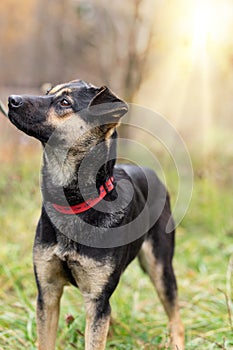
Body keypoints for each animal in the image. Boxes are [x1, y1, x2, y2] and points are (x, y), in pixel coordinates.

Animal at [7, 80, 184, 350]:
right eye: (48, 93)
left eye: (65, 102)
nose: (10, 99)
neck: (74, 203)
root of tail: (149, 171)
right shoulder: (47, 292)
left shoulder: (96, 299)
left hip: (160, 266)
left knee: (175, 315)